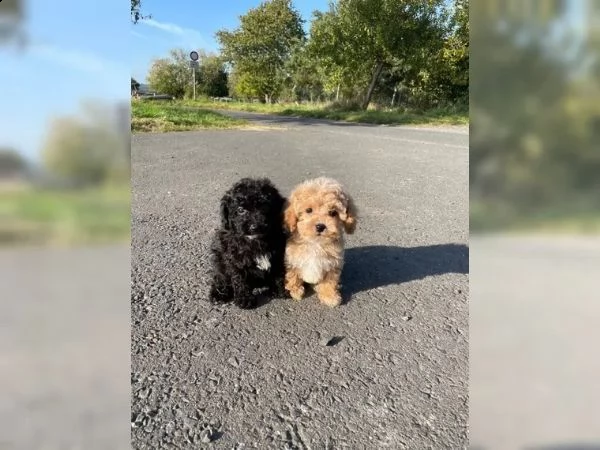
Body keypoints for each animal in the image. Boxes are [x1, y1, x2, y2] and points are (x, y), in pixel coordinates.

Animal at [210, 178, 288, 308]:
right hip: (218, 256)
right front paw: (244, 298)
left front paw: (281, 289)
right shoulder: (233, 257)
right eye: (241, 210)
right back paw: (219, 294)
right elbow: (239, 277)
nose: (255, 226)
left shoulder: (278, 253)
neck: (255, 240)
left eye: (265, 207)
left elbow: (279, 271)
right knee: (220, 277)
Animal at [282, 178, 356, 308]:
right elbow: (293, 275)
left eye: (333, 212)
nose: (320, 226)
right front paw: (295, 290)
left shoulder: (332, 264)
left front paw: (330, 297)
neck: (316, 243)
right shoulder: (293, 260)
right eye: (308, 210)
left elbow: (329, 281)